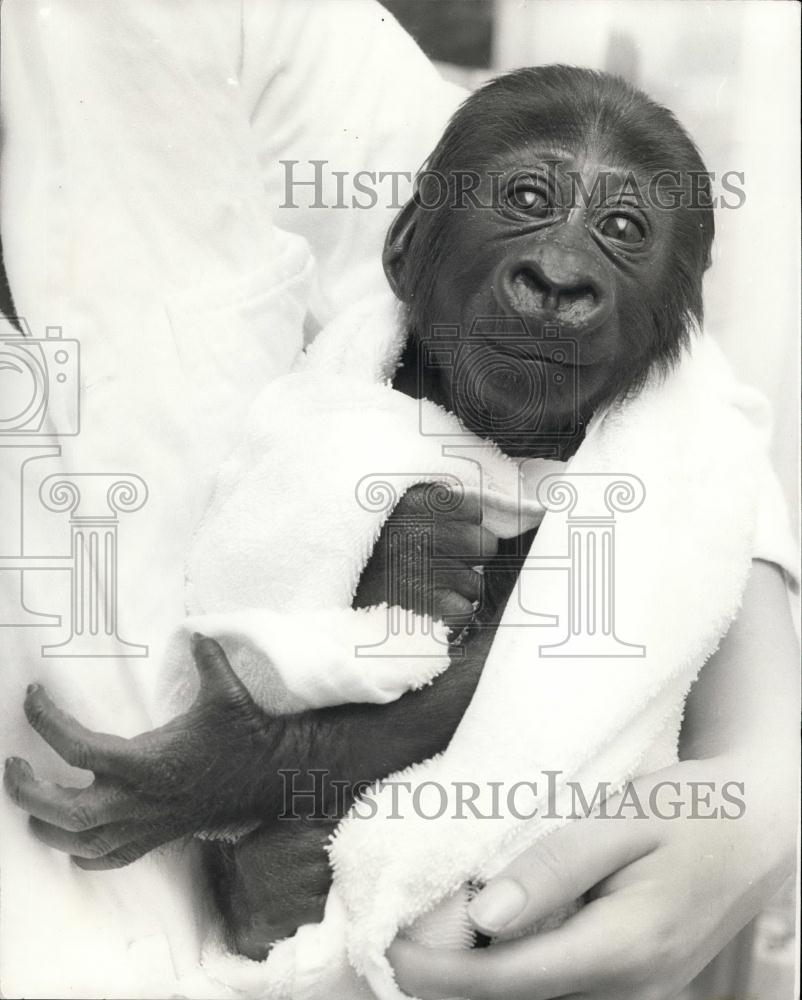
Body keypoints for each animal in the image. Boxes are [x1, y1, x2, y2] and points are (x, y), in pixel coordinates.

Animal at [4, 66, 712, 956]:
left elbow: (535, 668)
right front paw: (414, 551)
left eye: (622, 228)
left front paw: (227, 765)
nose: (557, 279)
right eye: (527, 199)